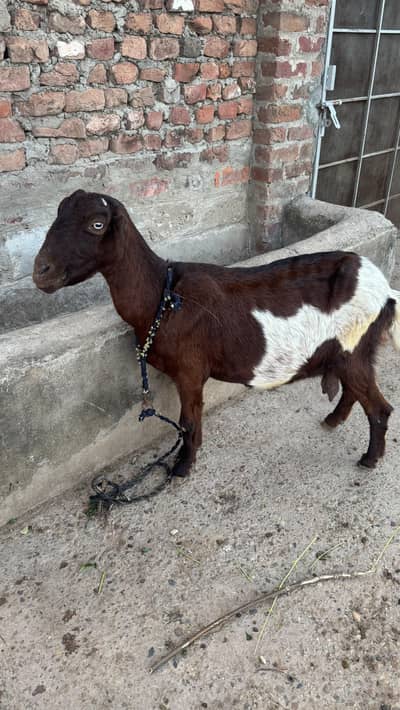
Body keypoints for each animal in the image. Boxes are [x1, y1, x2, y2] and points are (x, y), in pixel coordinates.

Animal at [33, 190, 400, 477]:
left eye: (96, 224)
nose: (41, 271)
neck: (163, 296)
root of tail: (385, 289)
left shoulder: (190, 370)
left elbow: (189, 421)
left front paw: (182, 467)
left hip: (354, 347)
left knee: (379, 408)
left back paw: (369, 459)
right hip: (349, 352)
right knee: (353, 390)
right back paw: (332, 421)